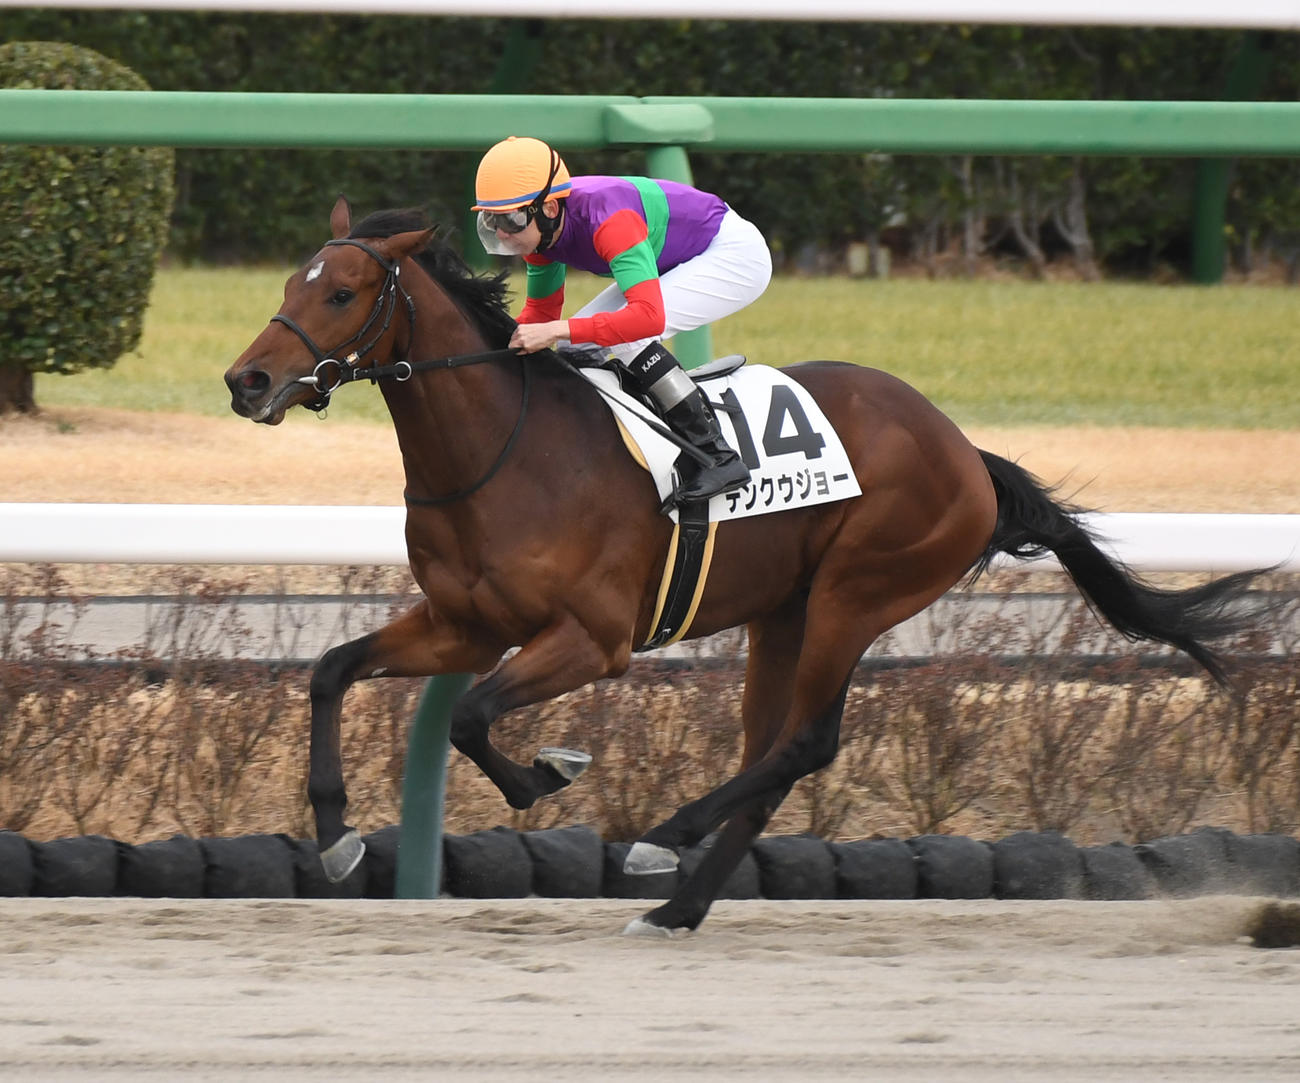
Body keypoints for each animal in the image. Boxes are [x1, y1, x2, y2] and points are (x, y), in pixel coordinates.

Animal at [225, 198, 1262, 936]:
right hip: (785, 611)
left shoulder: (593, 640)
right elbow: (334, 672)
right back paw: (677, 904)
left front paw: (548, 773)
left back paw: (661, 841)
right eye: (291, 281)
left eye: (341, 294)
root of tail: (966, 450)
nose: (247, 380)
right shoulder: (462, 624)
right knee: (771, 752)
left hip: (856, 593)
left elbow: (475, 717)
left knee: (806, 743)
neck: (505, 449)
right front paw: (339, 840)